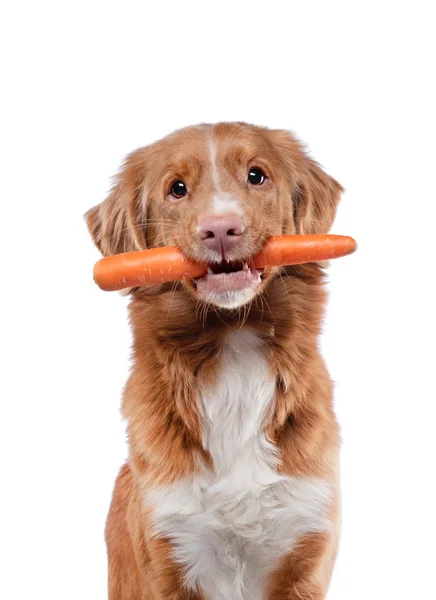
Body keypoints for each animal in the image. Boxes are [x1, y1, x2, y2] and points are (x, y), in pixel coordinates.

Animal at [85, 119, 344, 596]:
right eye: (177, 188)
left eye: (257, 176)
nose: (221, 229)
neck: (233, 340)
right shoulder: (169, 553)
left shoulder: (305, 549)